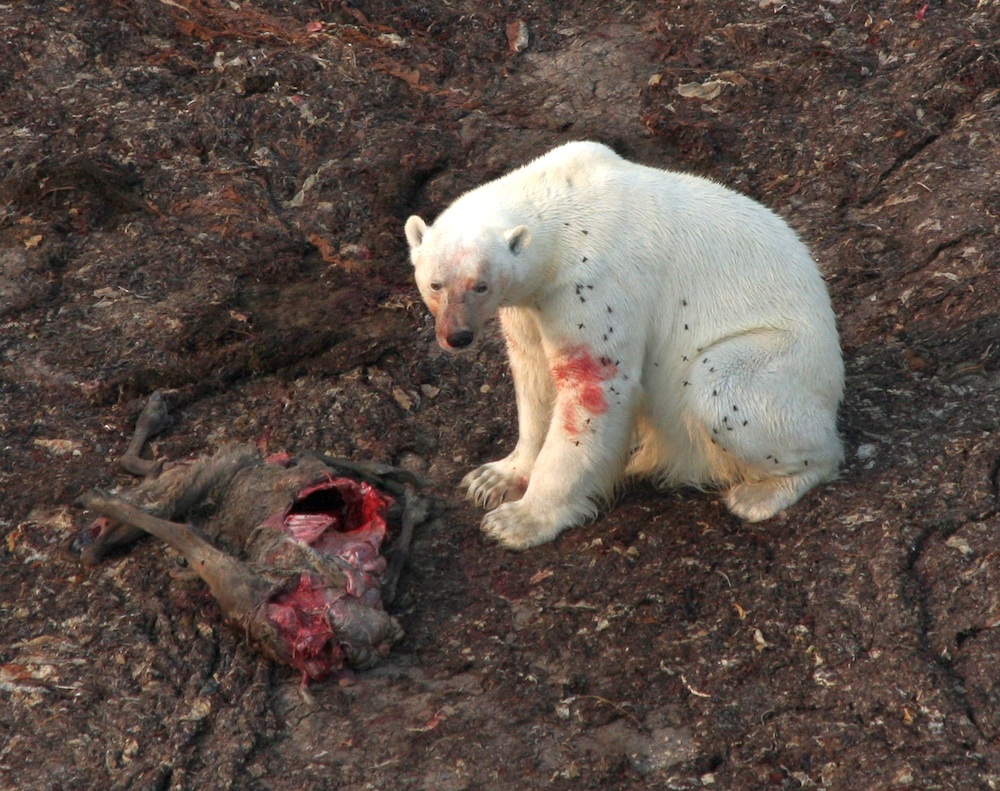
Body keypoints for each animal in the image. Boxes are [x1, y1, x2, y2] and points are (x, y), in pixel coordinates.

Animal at [404, 141, 843, 550]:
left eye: (480, 285)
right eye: (435, 284)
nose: (457, 336)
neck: (562, 208)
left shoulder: (594, 286)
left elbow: (591, 386)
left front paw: (517, 521)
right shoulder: (530, 302)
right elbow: (533, 372)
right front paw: (492, 477)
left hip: (782, 360)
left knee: (721, 384)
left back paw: (760, 493)